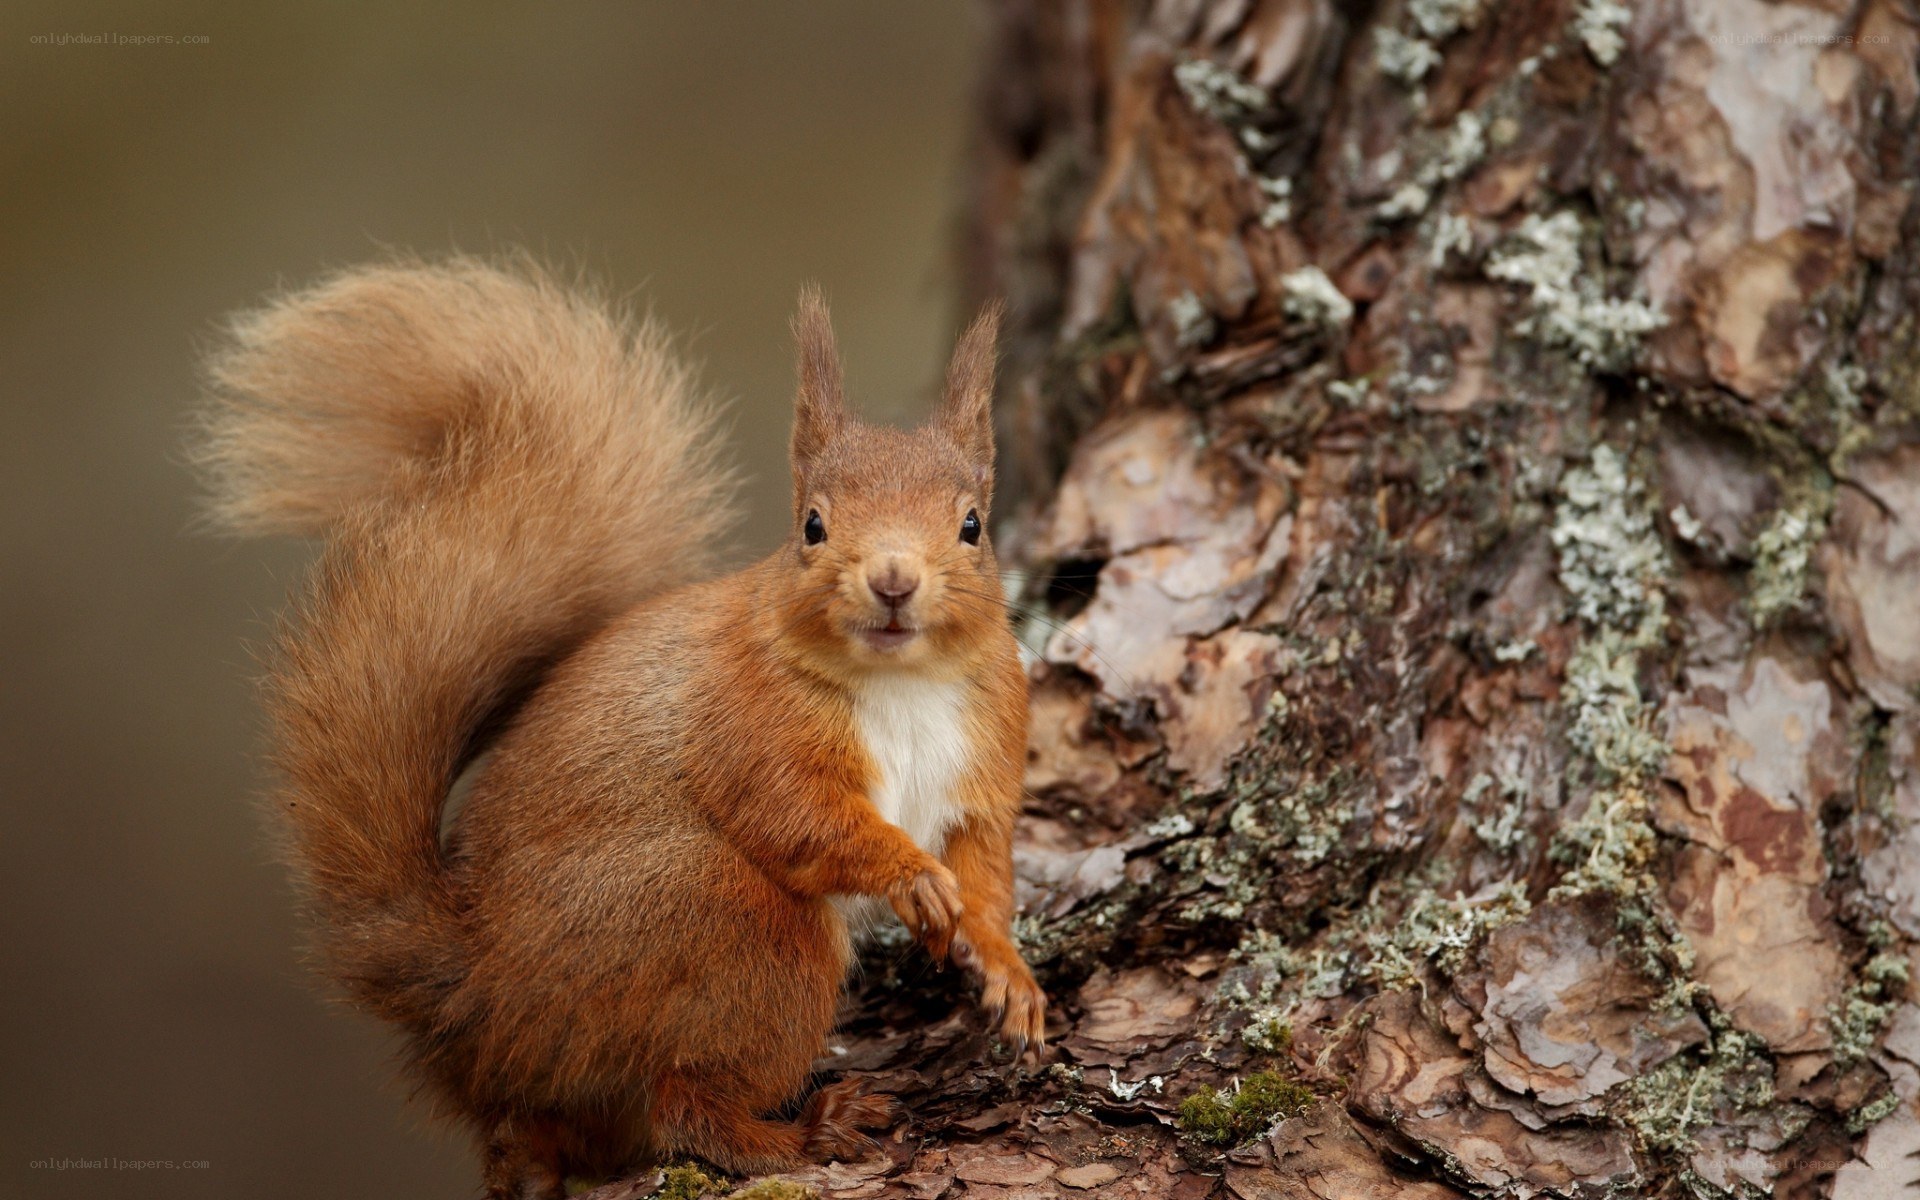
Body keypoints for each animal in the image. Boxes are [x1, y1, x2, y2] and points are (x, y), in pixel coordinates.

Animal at [196, 257, 1047, 1198]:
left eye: (971, 525)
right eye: (812, 526)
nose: (894, 580)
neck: (900, 684)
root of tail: (475, 1003)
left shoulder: (985, 757)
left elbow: (984, 870)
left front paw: (1006, 971)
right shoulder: (747, 726)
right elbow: (803, 820)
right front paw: (912, 876)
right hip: (729, 924)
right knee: (683, 1104)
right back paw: (804, 1131)